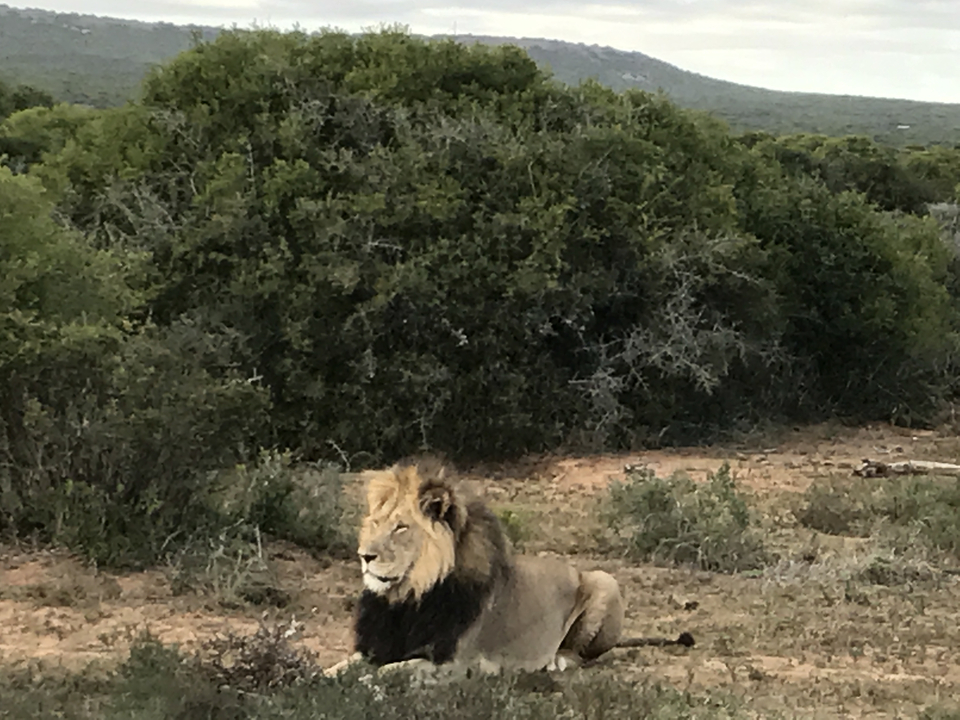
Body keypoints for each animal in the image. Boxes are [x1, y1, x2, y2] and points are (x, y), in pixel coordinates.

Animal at [323, 459, 693, 680]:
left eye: (401, 528)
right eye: (375, 523)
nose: (364, 555)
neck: (407, 596)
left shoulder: (455, 664)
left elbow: (395, 670)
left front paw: (368, 682)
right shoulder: (376, 646)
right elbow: (344, 665)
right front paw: (318, 678)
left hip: (604, 580)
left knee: (585, 656)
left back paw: (556, 661)